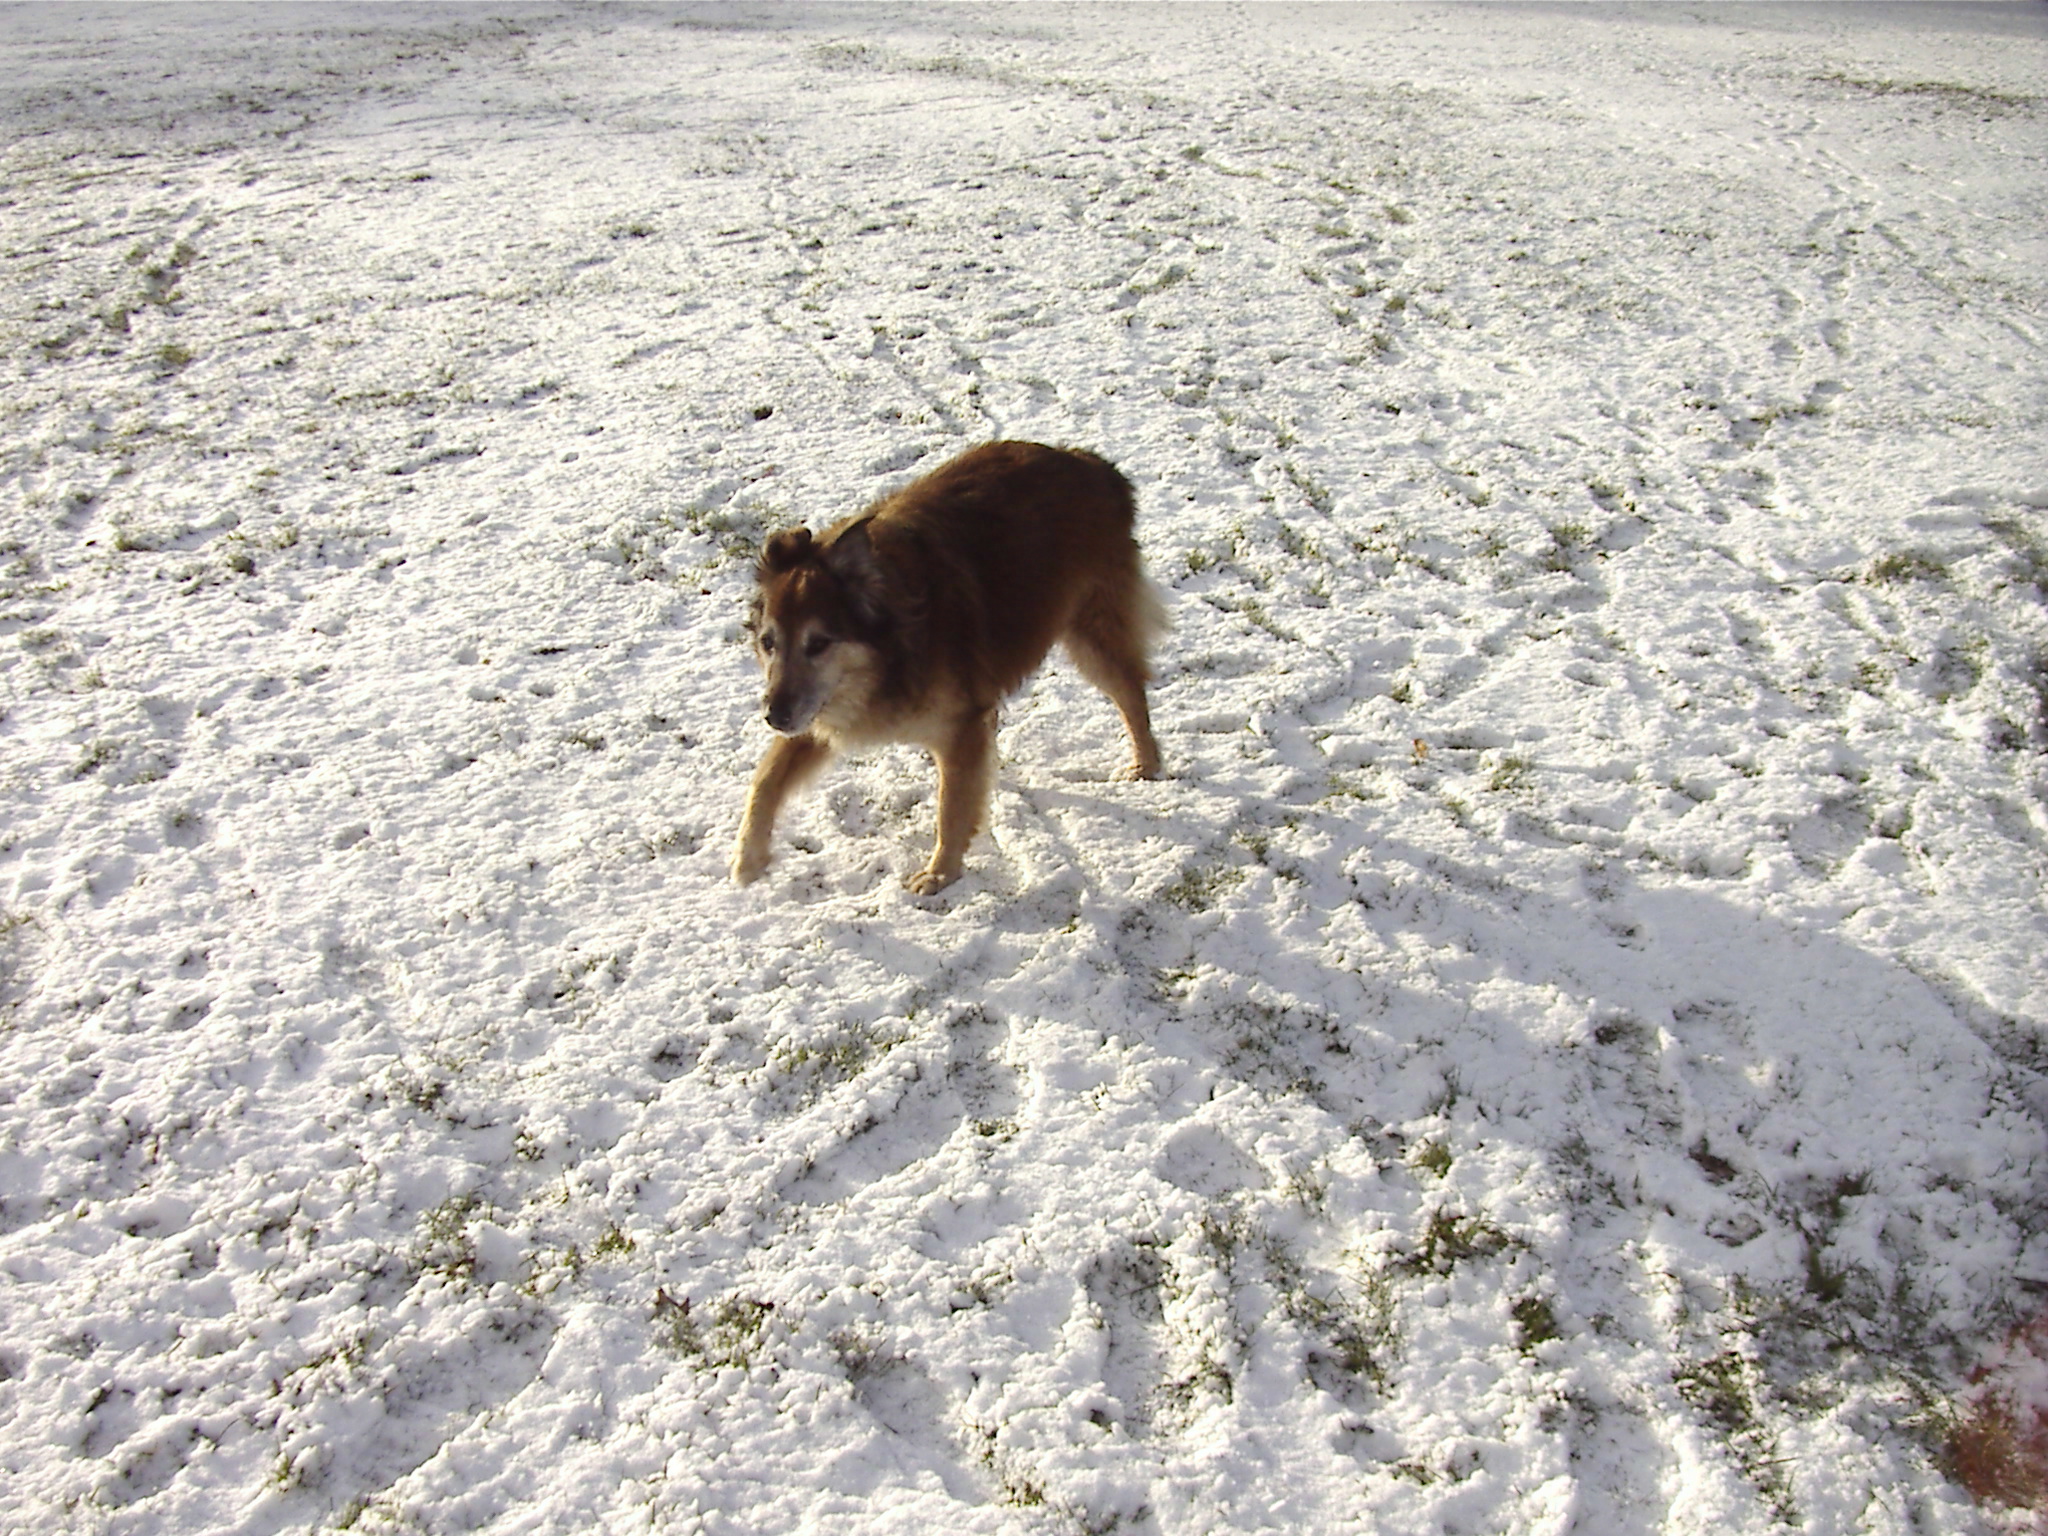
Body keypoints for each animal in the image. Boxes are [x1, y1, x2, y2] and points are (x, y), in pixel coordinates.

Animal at [737, 438, 1163, 897]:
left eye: (818, 643)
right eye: (768, 643)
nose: (773, 717)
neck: (892, 648)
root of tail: (1094, 465)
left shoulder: (958, 726)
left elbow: (951, 807)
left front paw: (940, 873)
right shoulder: (819, 708)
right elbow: (767, 777)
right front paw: (748, 859)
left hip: (1092, 632)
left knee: (1131, 692)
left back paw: (1146, 764)